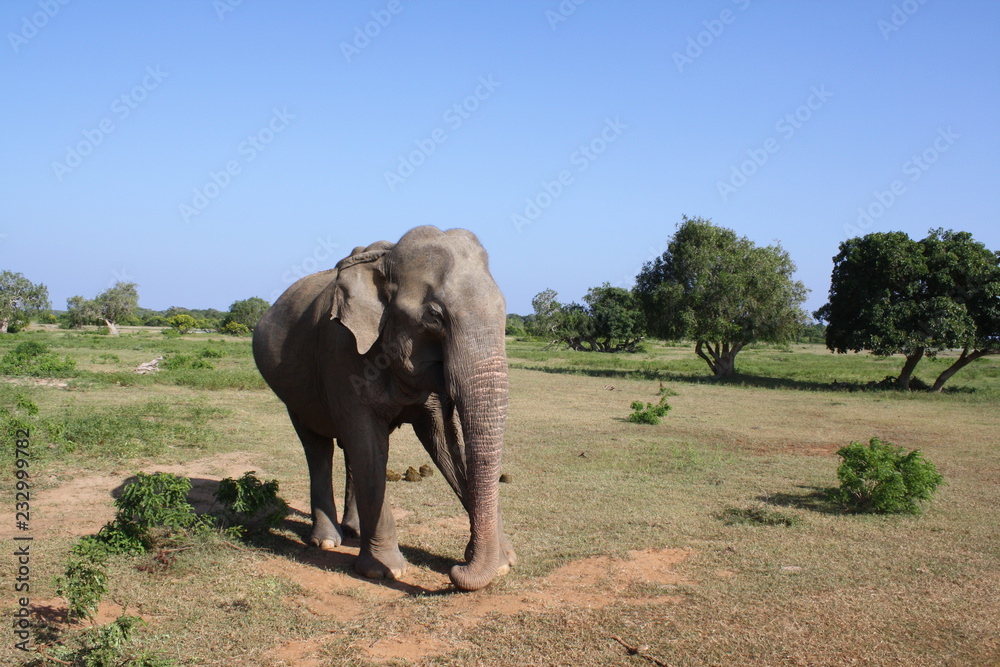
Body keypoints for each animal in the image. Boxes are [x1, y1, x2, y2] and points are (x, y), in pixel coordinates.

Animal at [252, 225, 515, 591]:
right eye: (435, 317)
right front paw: (386, 572)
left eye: (504, 310)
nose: (456, 571)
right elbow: (368, 442)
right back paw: (327, 541)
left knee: (350, 451)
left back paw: (353, 531)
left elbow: (445, 446)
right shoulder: (340, 353)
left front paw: (504, 562)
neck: (385, 258)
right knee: (318, 446)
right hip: (293, 391)